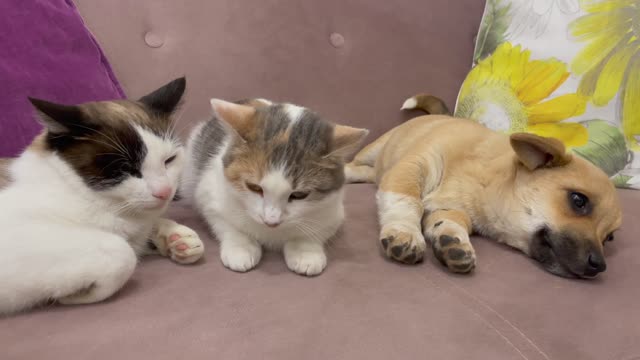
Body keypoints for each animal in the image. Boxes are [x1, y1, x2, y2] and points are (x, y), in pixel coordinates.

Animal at [0, 77, 204, 314]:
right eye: (125, 168)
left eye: (169, 160)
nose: (165, 191)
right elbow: (122, 252)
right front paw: (76, 294)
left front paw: (175, 237)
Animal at [182, 98, 368, 276]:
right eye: (254, 187)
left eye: (299, 195)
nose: (271, 221)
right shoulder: (209, 195)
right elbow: (224, 223)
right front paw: (241, 247)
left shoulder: (333, 211)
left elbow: (317, 229)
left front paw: (305, 251)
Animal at [348, 95, 624, 278]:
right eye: (578, 200)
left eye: (609, 238)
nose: (599, 266)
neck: (487, 179)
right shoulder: (413, 167)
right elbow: (405, 200)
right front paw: (405, 231)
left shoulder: (451, 209)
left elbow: (449, 222)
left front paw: (453, 242)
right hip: (376, 149)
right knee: (354, 165)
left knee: (368, 173)